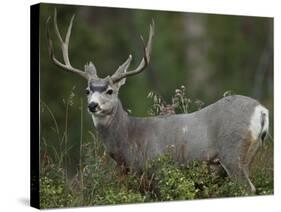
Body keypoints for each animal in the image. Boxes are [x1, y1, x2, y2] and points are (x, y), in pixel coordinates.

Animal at [46, 9, 270, 193]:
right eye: (87, 91)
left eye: (110, 91)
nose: (93, 105)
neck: (129, 138)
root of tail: (261, 110)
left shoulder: (157, 169)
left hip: (232, 152)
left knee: (248, 188)